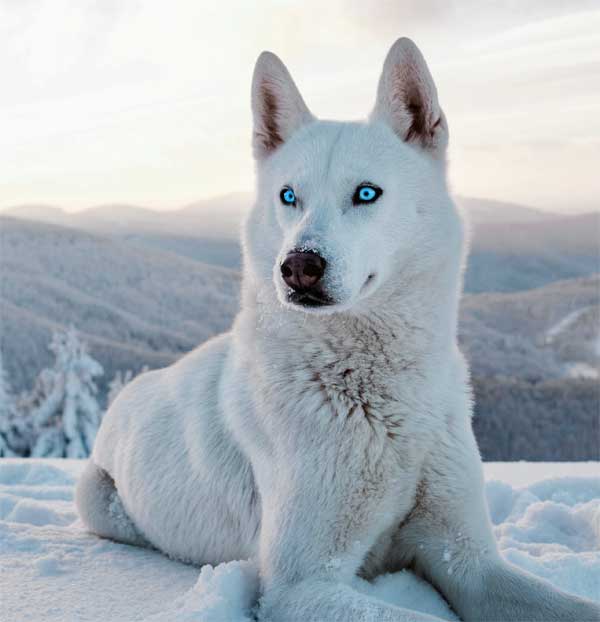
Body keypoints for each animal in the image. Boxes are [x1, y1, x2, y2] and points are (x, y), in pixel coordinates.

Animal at [76, 40, 600, 622]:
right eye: (289, 196)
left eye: (366, 193)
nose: (298, 266)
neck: (380, 395)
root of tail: (133, 388)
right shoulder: (301, 585)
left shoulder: (468, 561)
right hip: (95, 498)